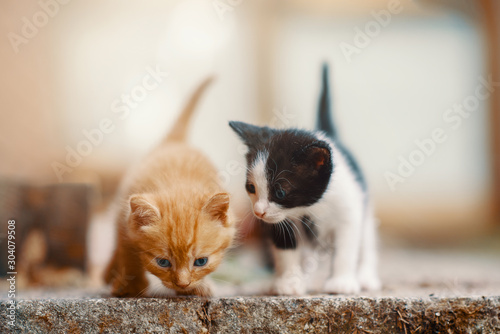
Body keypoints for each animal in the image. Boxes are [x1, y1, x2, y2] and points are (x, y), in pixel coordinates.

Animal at [105, 79, 234, 298]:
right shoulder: (124, 217)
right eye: (163, 262)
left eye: (201, 261)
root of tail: (175, 141)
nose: (182, 284)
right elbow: (127, 249)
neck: (178, 183)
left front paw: (198, 288)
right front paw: (130, 285)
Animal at [229, 65, 378, 294]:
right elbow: (286, 249)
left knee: (366, 239)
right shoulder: (281, 221)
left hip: (364, 206)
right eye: (251, 187)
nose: (259, 212)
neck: (312, 207)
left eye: (280, 192)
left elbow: (346, 247)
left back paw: (365, 276)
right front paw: (289, 282)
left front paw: (342, 281)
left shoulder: (349, 211)